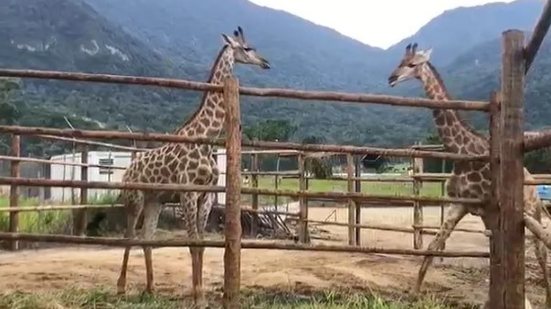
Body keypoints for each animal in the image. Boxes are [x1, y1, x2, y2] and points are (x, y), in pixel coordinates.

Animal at [116, 27, 272, 306]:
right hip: (134, 198)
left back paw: (150, 288)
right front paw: (198, 296)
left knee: (147, 238)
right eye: (247, 48)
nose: (266, 62)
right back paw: (121, 287)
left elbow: (201, 243)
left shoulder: (205, 195)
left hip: (155, 200)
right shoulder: (188, 193)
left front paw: (201, 295)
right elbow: (192, 243)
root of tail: (126, 172)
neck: (206, 138)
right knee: (130, 236)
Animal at [388, 42, 551, 306]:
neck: (462, 152)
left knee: (541, 250)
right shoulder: (460, 205)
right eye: (400, 61)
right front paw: (414, 292)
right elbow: (434, 244)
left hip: (531, 211)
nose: (391, 78)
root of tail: (534, 185)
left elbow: (497, 253)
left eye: (412, 64)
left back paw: (544, 300)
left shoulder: (490, 208)